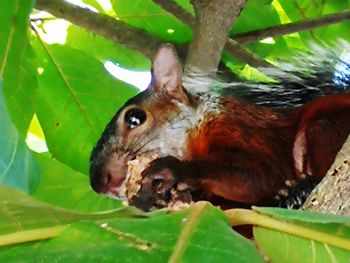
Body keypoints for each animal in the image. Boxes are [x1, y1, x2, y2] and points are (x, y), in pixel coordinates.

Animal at [89, 43, 350, 212]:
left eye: (135, 118)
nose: (100, 183)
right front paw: (151, 200)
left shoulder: (244, 127)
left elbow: (262, 173)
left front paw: (174, 169)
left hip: (325, 130)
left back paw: (300, 190)